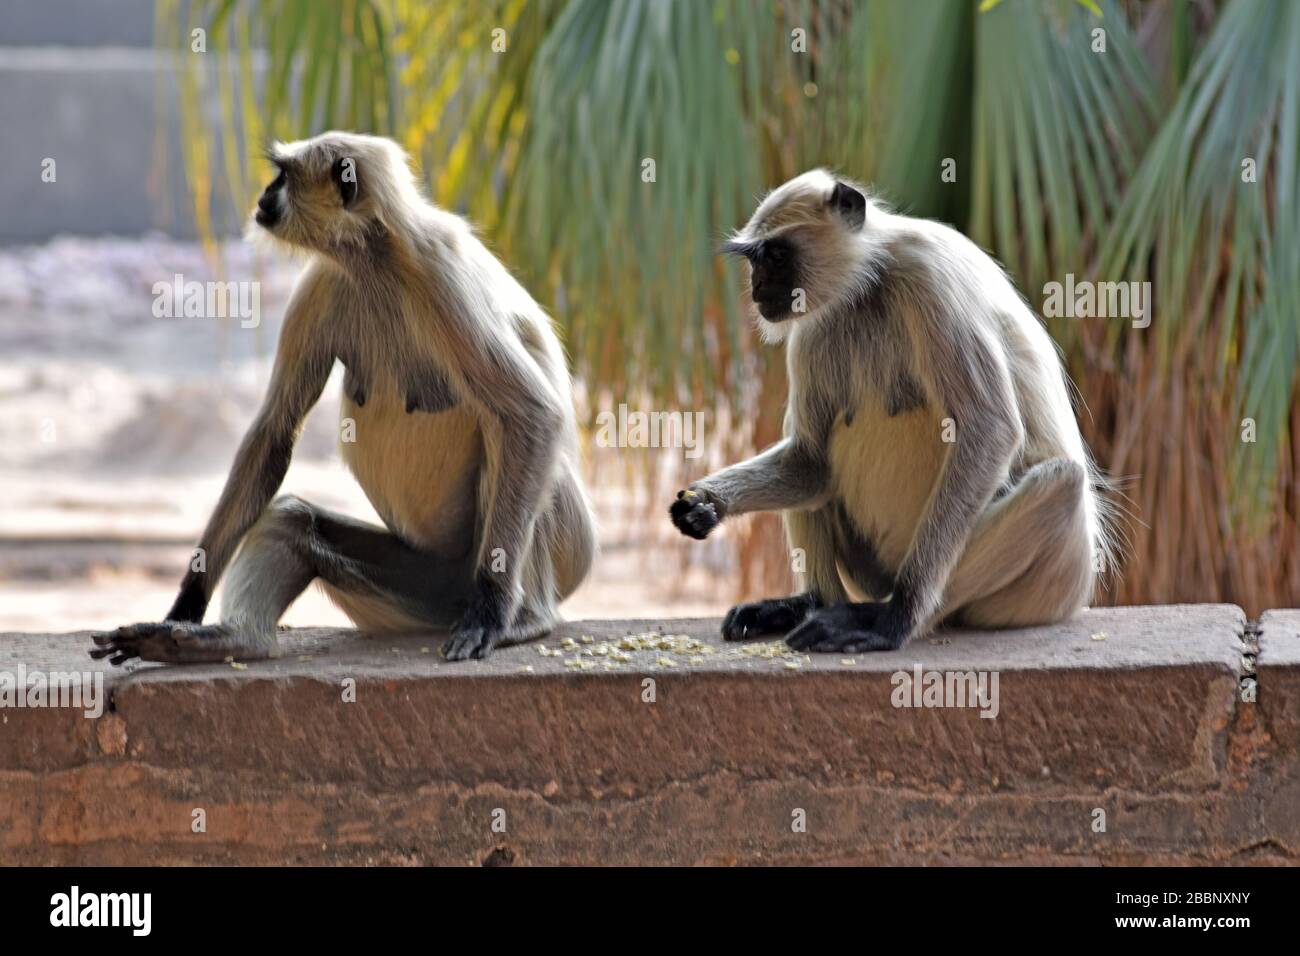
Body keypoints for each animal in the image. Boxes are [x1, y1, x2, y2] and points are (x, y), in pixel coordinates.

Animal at [92, 132, 596, 664]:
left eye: (284, 176)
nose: (265, 195)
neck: (377, 258)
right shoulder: (323, 281)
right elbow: (275, 431)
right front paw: (186, 605)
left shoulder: (440, 271)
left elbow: (531, 413)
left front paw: (493, 611)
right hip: (430, 587)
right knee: (294, 519)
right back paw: (232, 639)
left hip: (549, 550)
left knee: (511, 434)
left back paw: (522, 614)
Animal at [670, 169, 1115, 653]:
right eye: (757, 261)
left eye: (775, 256)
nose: (756, 289)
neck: (868, 283)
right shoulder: (814, 324)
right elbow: (810, 461)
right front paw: (704, 505)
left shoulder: (927, 275)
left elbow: (989, 428)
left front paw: (897, 617)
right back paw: (810, 604)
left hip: (1048, 586)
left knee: (1060, 482)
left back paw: (888, 615)